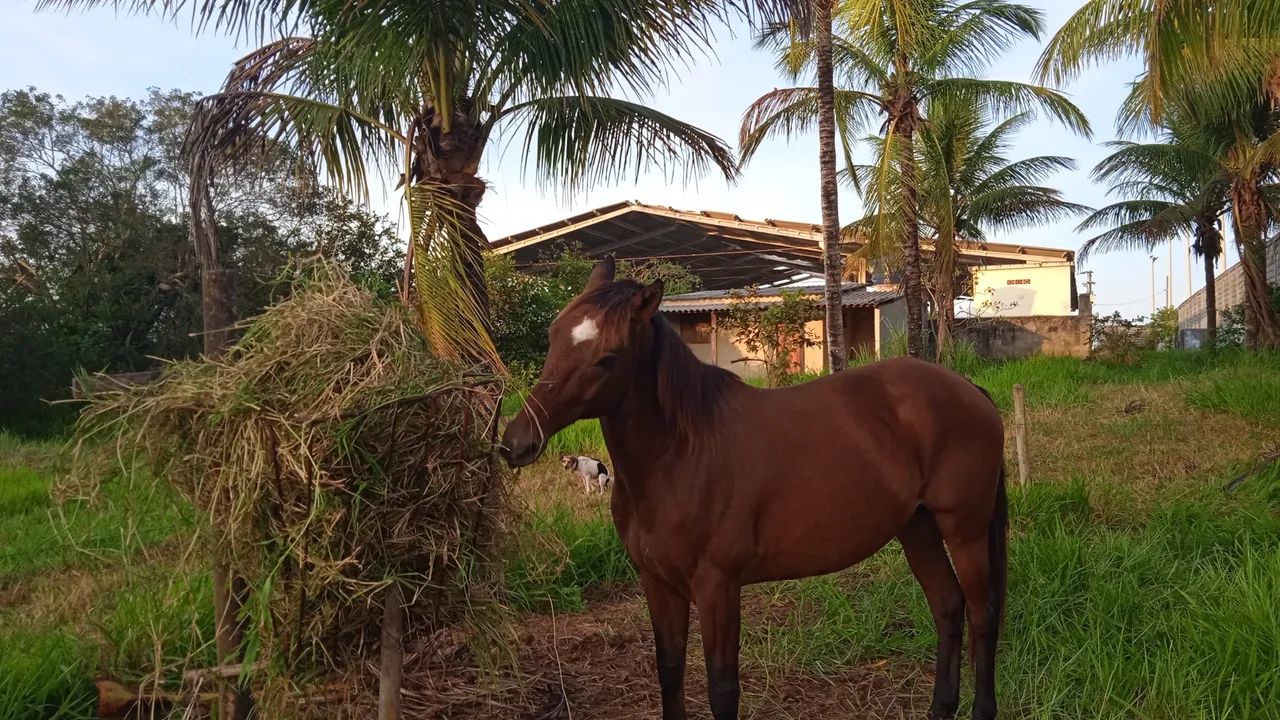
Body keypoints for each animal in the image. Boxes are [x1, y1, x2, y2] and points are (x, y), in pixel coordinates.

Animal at [501, 258, 1008, 720]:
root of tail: (970, 390)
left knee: (981, 614)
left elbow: (722, 688)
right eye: (554, 336)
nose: (516, 443)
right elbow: (669, 671)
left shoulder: (718, 587)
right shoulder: (657, 583)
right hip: (916, 528)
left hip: (964, 530)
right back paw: (940, 708)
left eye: (607, 357)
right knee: (947, 607)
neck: (680, 455)